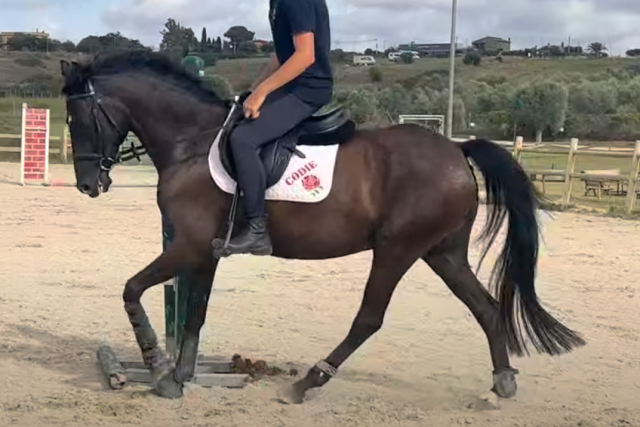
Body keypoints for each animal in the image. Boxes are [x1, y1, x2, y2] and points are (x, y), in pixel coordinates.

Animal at [59, 50, 585, 402]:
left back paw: (308, 381)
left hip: (397, 249)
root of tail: (456, 150)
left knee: (370, 317)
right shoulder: (205, 251)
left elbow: (132, 289)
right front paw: (179, 377)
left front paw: (156, 363)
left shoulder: (187, 245)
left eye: (78, 115)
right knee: (486, 309)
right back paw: (503, 381)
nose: (87, 184)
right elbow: (194, 315)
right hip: (443, 253)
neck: (192, 141)